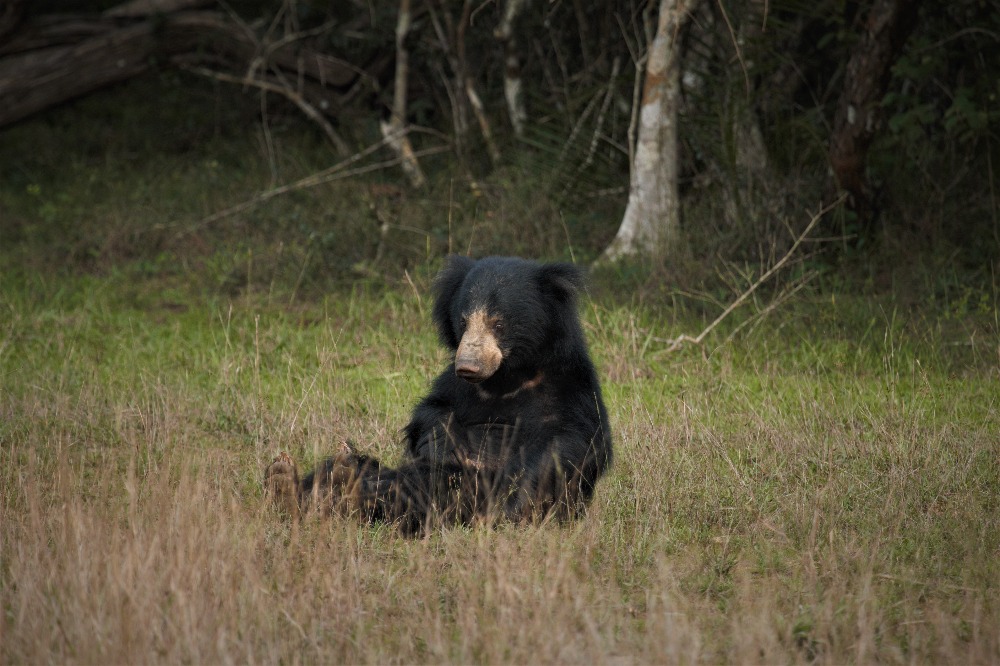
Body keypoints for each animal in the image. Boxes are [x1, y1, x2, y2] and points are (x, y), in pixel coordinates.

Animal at [264, 255, 612, 534]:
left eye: (498, 323)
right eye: (464, 321)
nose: (469, 366)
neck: (507, 377)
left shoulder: (568, 390)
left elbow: (567, 447)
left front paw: (515, 508)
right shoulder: (454, 386)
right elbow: (433, 413)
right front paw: (444, 444)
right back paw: (301, 480)